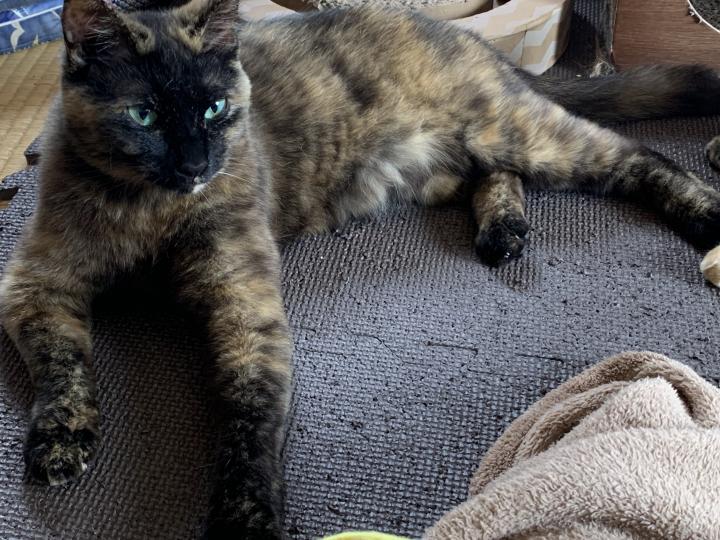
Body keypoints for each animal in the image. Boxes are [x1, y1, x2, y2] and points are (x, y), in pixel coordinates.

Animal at [1, 0, 720, 537]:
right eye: (143, 115)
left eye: (213, 109)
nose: (196, 164)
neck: (150, 212)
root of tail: (469, 39)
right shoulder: (36, 283)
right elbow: (62, 364)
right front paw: (60, 435)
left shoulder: (243, 303)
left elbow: (246, 413)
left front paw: (243, 516)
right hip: (446, 167)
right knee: (498, 177)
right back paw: (503, 229)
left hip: (518, 132)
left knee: (631, 154)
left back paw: (705, 213)